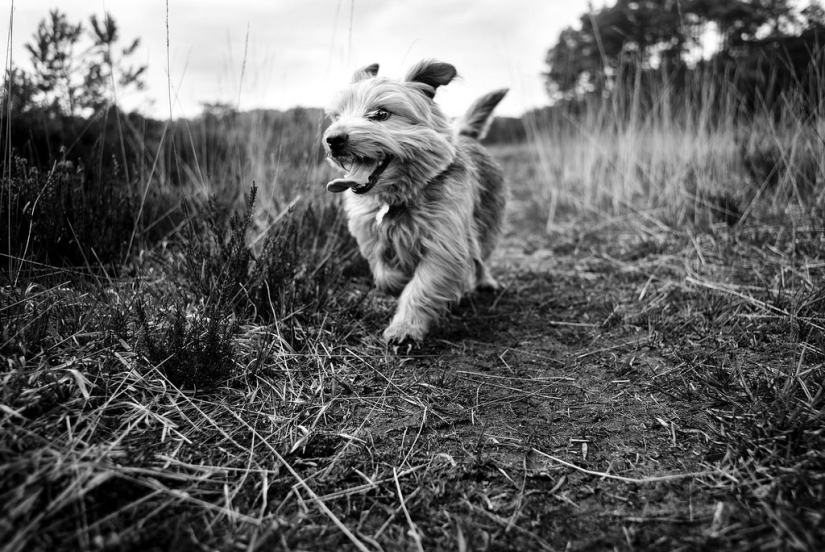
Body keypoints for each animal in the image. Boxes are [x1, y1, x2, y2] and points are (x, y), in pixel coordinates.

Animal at [320, 61, 506, 344]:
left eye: (381, 113)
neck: (398, 197)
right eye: (336, 117)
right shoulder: (370, 234)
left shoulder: (444, 245)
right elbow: (383, 273)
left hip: (488, 221)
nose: (333, 139)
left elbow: (421, 287)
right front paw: (397, 281)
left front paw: (405, 328)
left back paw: (485, 281)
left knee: (482, 254)